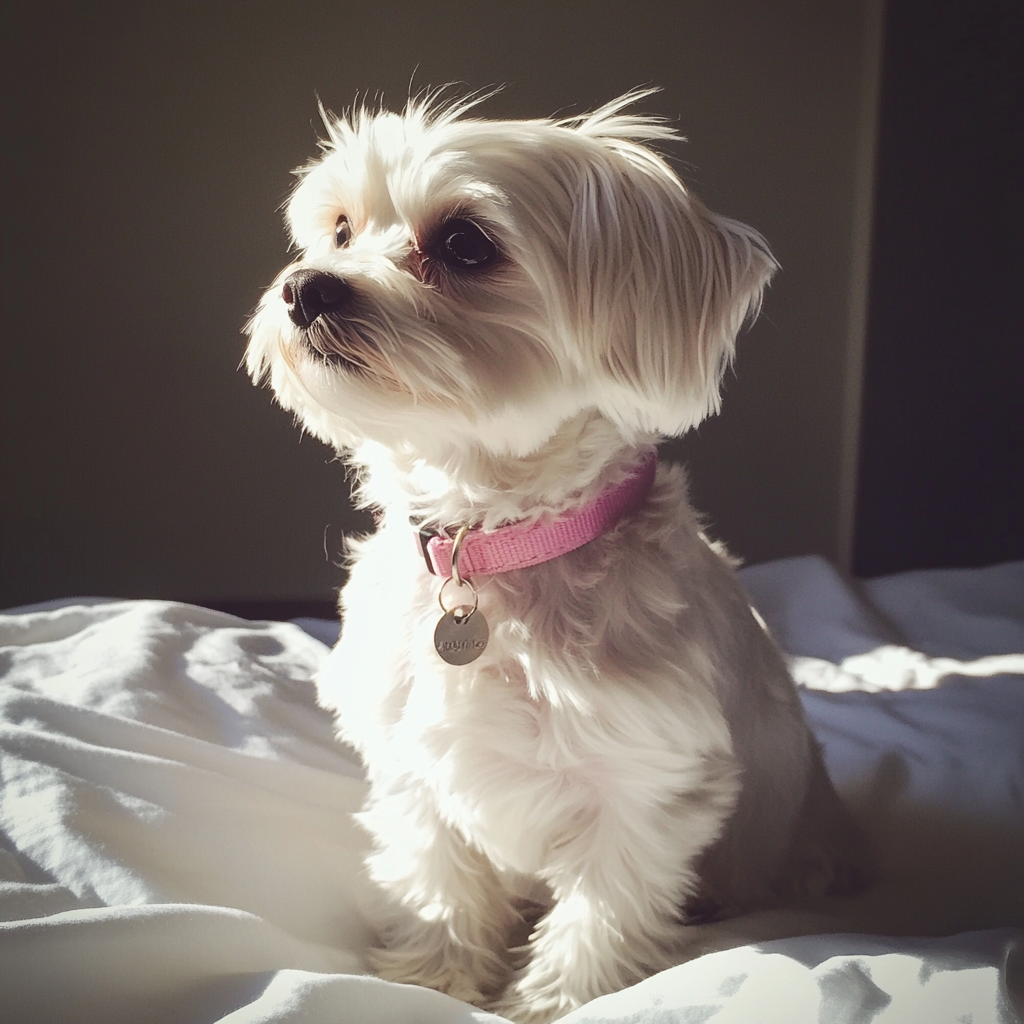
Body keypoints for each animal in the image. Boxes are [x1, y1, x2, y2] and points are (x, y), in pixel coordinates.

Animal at [247, 92, 864, 1019]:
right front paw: (436, 979)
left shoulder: (645, 792)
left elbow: (598, 917)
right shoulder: (413, 765)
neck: (492, 548)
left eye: (466, 245)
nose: (304, 286)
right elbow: (437, 884)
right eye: (341, 230)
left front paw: (554, 1003)